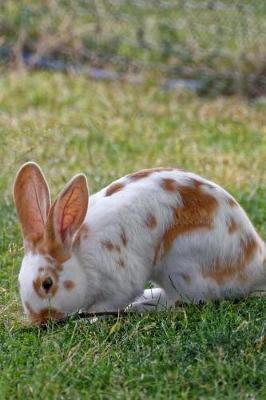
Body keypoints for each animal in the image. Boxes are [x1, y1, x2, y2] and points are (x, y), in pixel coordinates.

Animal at [13, 161, 264, 324]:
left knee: (183, 301)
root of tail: (255, 266)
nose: (39, 320)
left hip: (180, 266)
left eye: (47, 284)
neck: (80, 258)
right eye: (19, 281)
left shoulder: (119, 282)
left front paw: (90, 317)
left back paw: (141, 306)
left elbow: (108, 303)